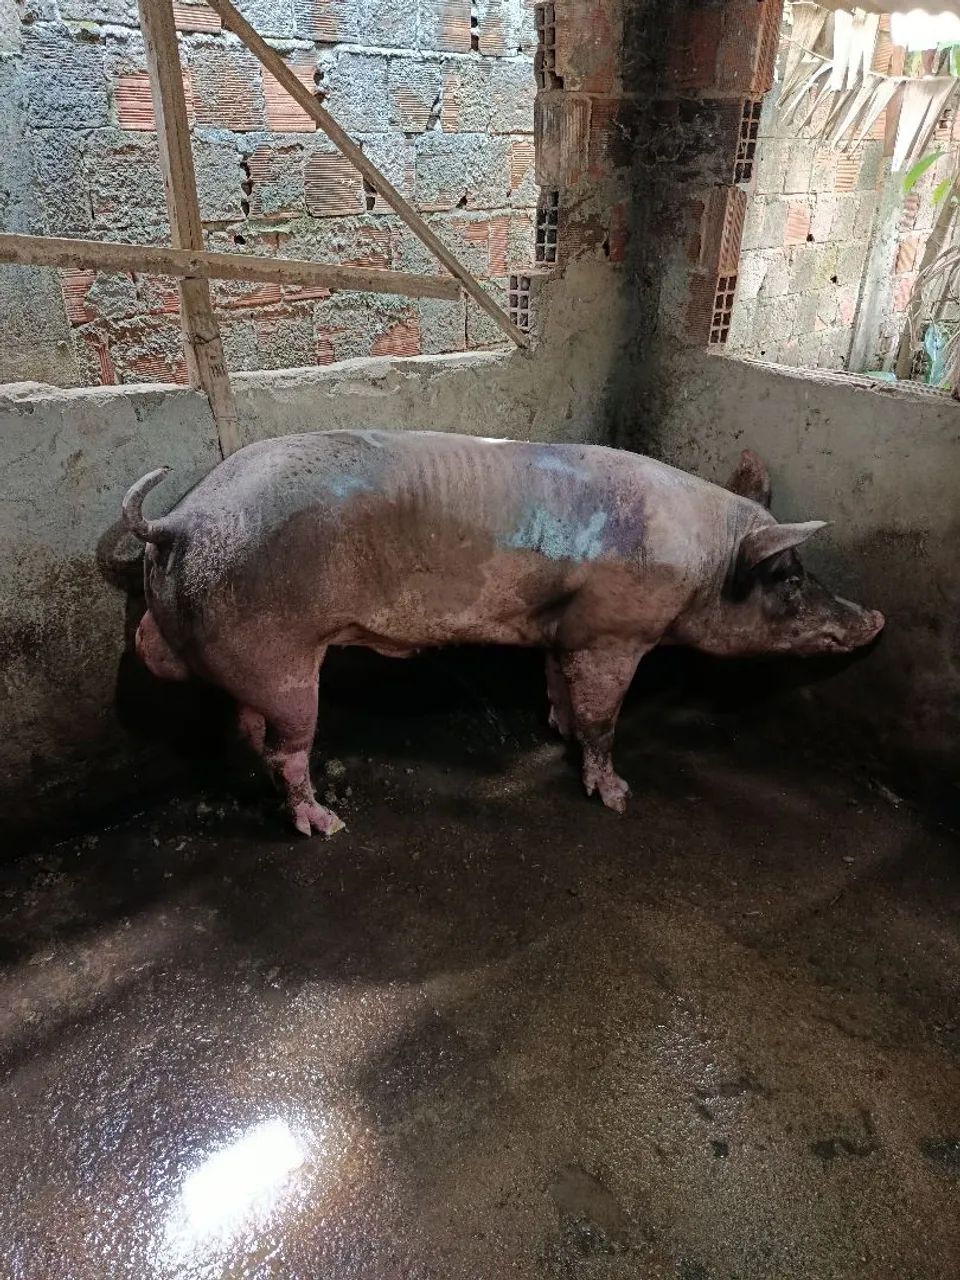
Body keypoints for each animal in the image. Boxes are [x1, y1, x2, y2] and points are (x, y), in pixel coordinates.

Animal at [122, 432, 884, 836]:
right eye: (790, 579)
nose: (876, 619)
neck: (705, 562)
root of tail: (176, 521)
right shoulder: (612, 633)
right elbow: (605, 718)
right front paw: (617, 796)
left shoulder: (563, 632)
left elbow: (559, 687)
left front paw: (558, 729)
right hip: (278, 658)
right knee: (287, 748)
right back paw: (326, 826)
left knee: (250, 730)